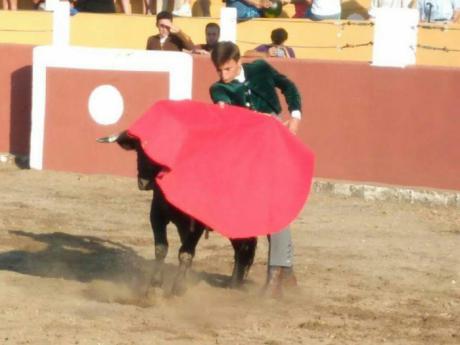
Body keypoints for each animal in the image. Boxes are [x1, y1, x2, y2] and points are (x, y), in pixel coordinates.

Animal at [97, 130, 258, 294]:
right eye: (138, 150)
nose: (144, 182)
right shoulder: (157, 215)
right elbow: (161, 248)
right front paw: (156, 283)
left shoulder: (197, 224)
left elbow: (185, 253)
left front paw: (178, 287)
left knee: (243, 248)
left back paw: (234, 284)